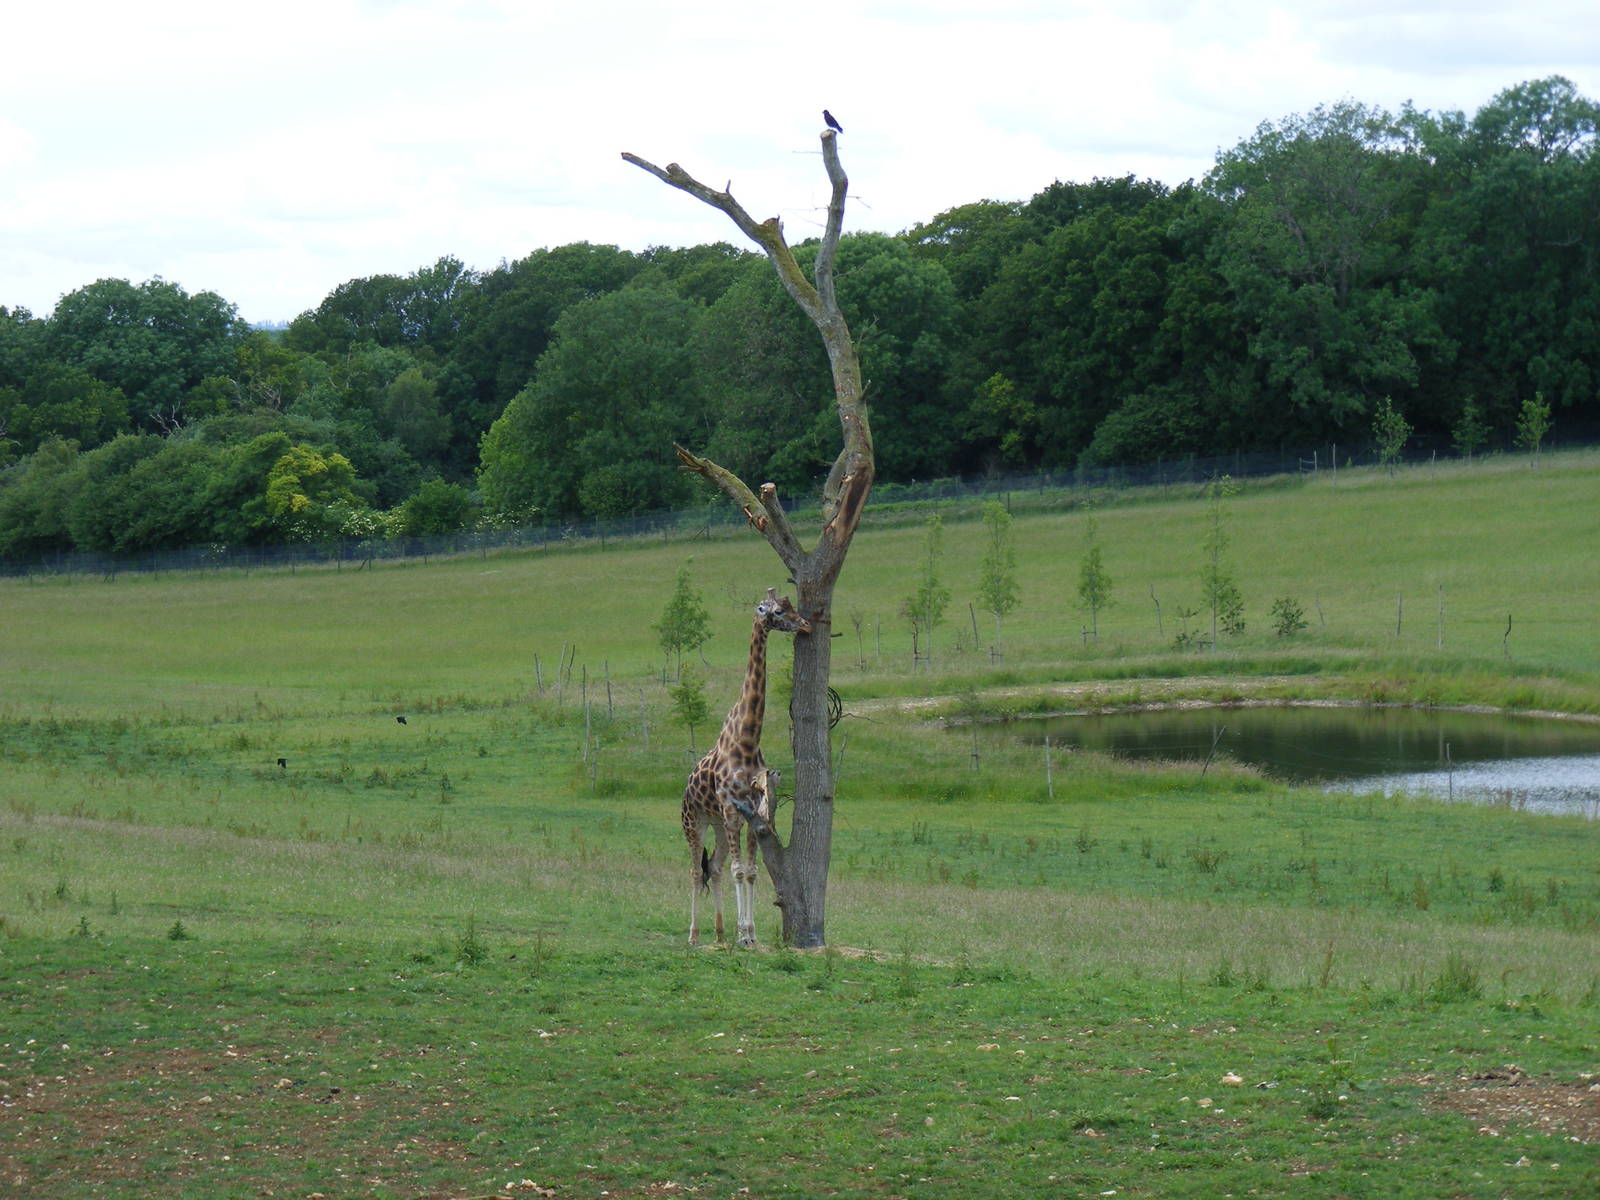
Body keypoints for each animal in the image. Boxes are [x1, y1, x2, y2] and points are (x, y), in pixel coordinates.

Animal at [681, 587, 812, 946]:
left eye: (791, 605)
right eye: (776, 611)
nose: (806, 625)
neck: (748, 739)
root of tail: (684, 791)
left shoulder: (752, 809)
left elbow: (751, 872)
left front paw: (749, 934)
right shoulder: (730, 807)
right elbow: (740, 871)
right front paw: (743, 935)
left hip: (718, 825)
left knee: (715, 867)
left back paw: (720, 934)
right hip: (695, 822)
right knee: (696, 870)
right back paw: (694, 935)